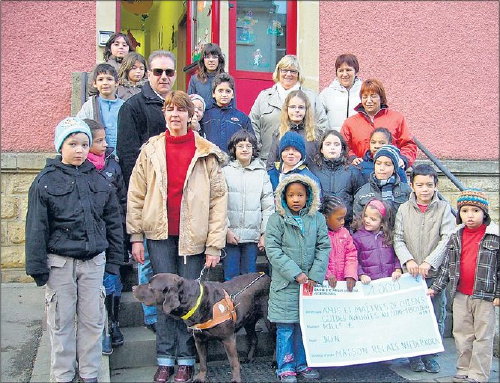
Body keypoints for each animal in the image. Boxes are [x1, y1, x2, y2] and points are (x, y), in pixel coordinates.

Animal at [133, 272, 270, 383]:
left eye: (150, 286)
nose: (133, 287)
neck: (197, 303)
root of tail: (266, 276)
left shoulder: (228, 338)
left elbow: (233, 362)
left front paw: (236, 379)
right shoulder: (199, 340)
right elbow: (203, 362)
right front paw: (200, 378)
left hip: (269, 319)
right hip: (249, 321)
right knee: (254, 339)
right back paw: (250, 358)